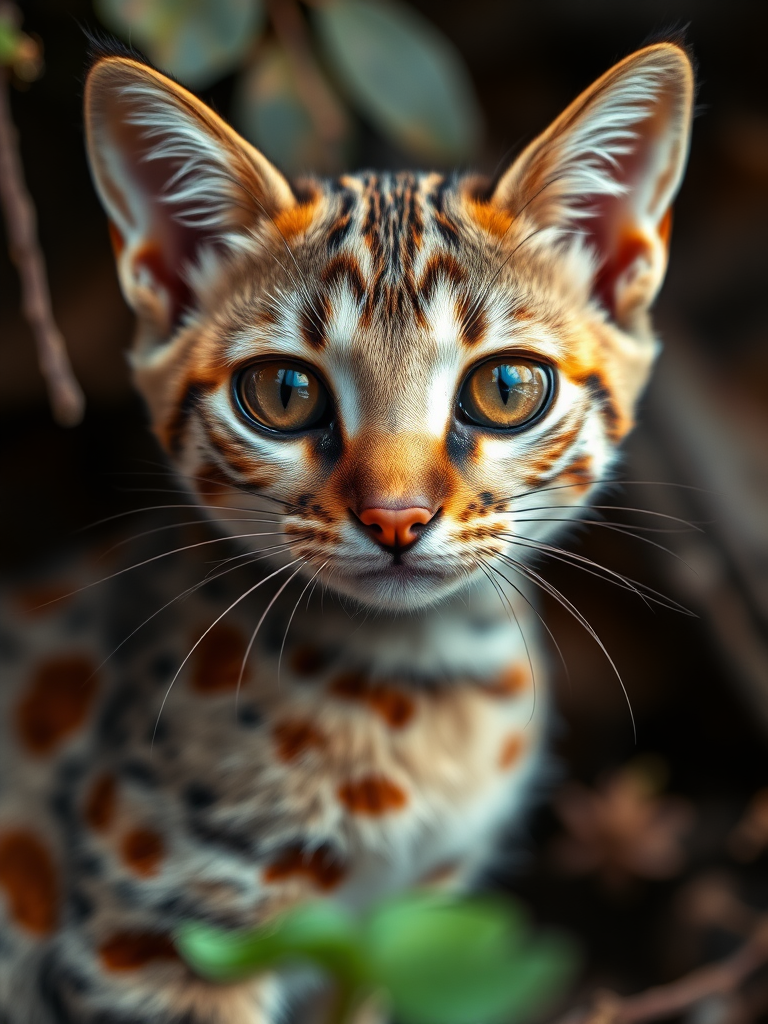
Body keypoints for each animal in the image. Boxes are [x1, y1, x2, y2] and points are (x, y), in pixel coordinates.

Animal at [0, 41, 696, 1024]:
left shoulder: (386, 937)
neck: (415, 685)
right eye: (284, 393)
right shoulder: (144, 938)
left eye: (506, 388)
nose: (396, 517)